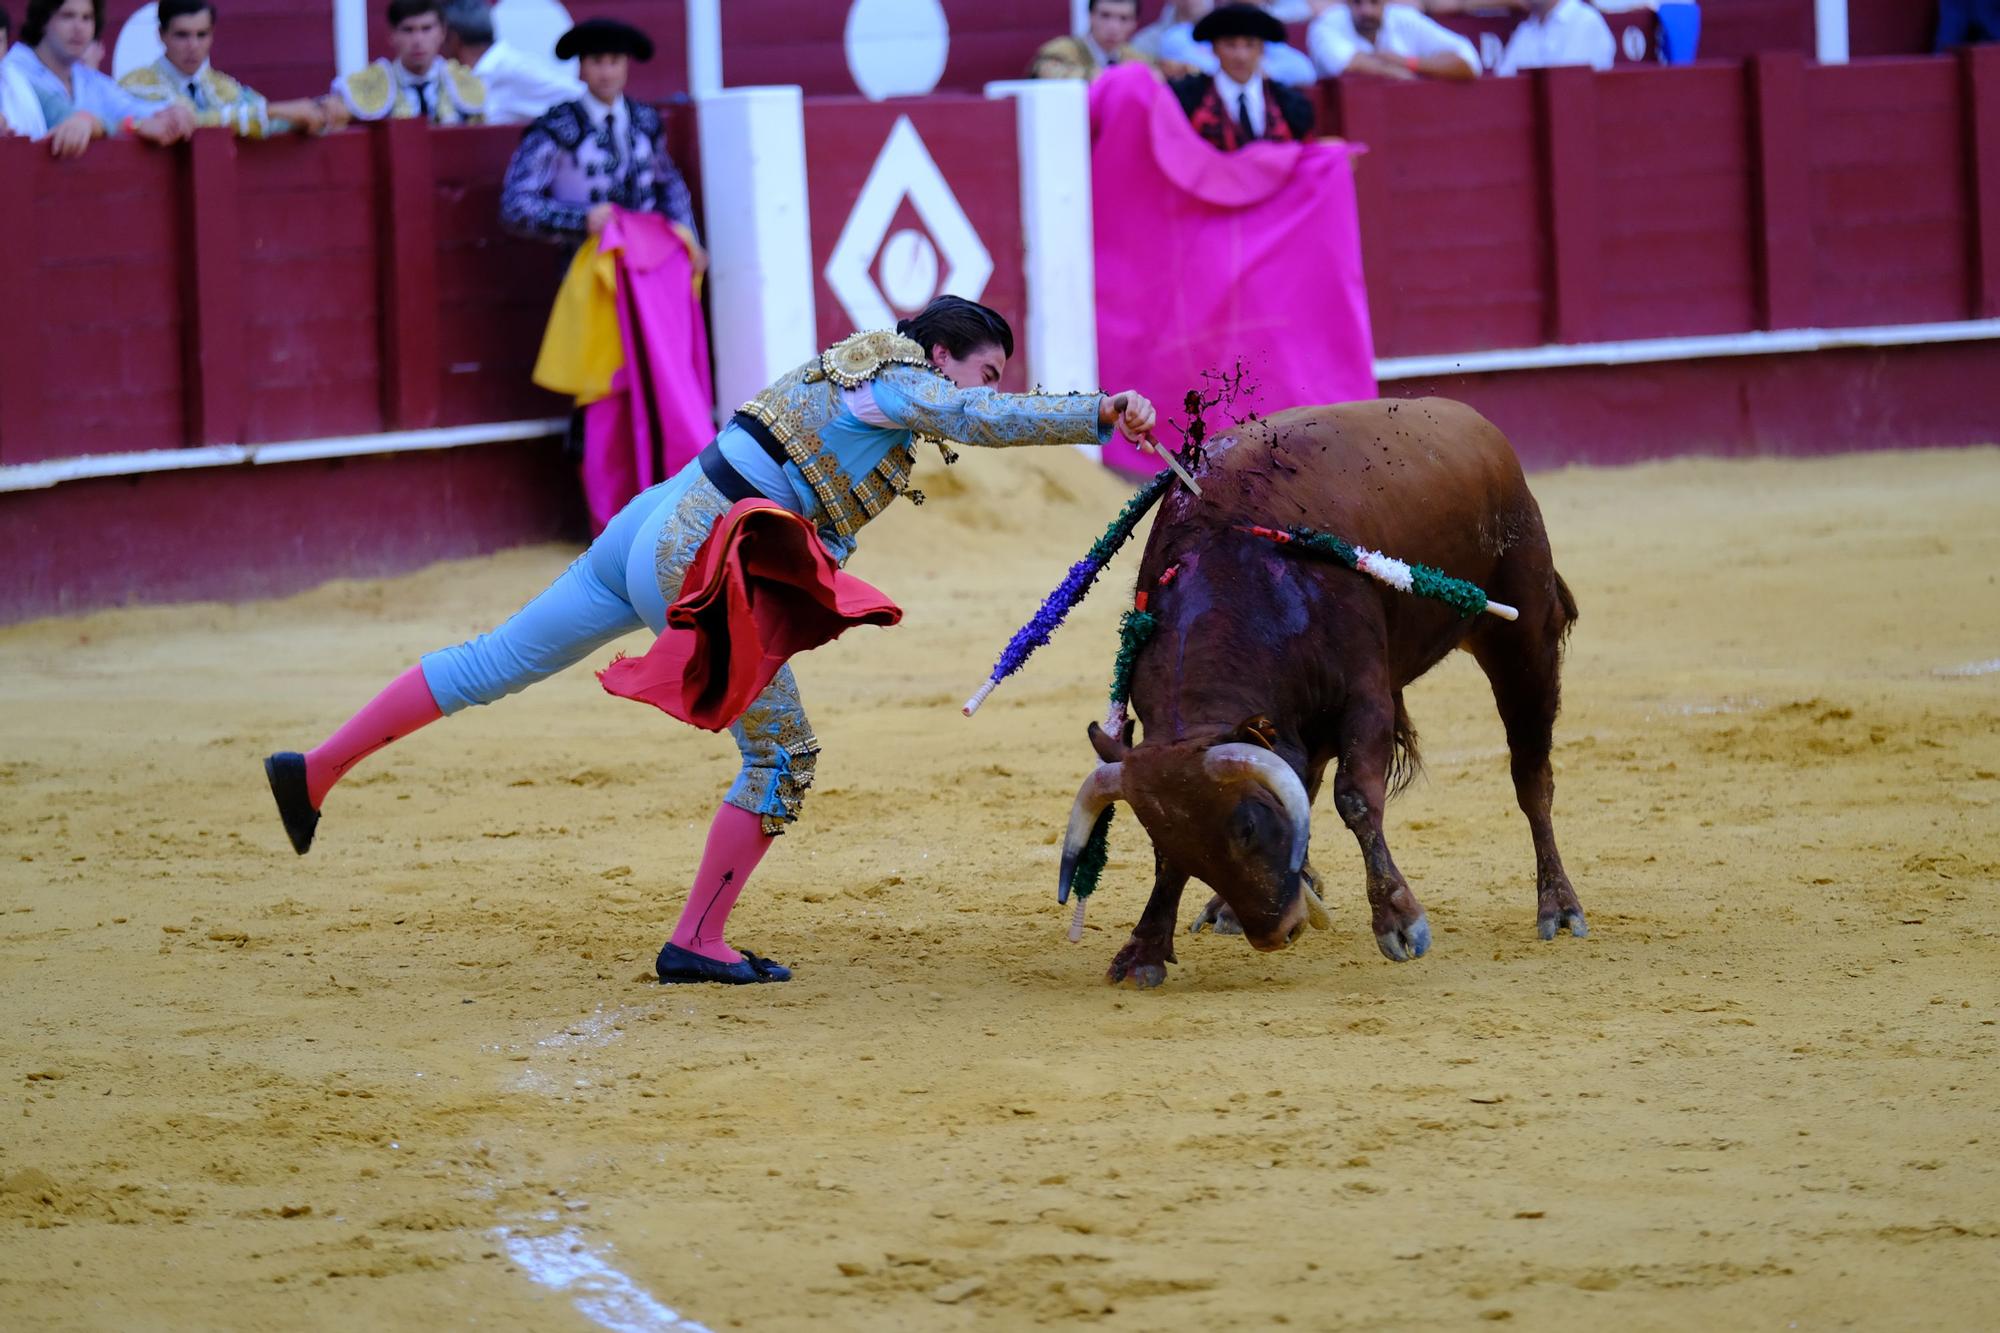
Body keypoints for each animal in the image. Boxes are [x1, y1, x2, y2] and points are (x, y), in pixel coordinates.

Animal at [1056, 394, 1584, 984]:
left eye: (1248, 826)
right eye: (1162, 840)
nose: (1276, 933)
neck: (1237, 564)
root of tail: (1475, 423)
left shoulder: (1366, 699)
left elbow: (1355, 797)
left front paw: (1399, 922)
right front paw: (1144, 948)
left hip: (1523, 638)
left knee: (1531, 774)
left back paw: (1559, 907)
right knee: (1305, 776)